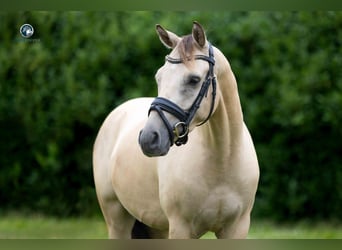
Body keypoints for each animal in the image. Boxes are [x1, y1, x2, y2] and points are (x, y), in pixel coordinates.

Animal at [93, 21, 260, 238]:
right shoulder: (181, 228)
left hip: (157, 228)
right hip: (116, 220)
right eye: (159, 77)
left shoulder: (236, 228)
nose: (148, 139)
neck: (223, 161)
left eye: (194, 80)